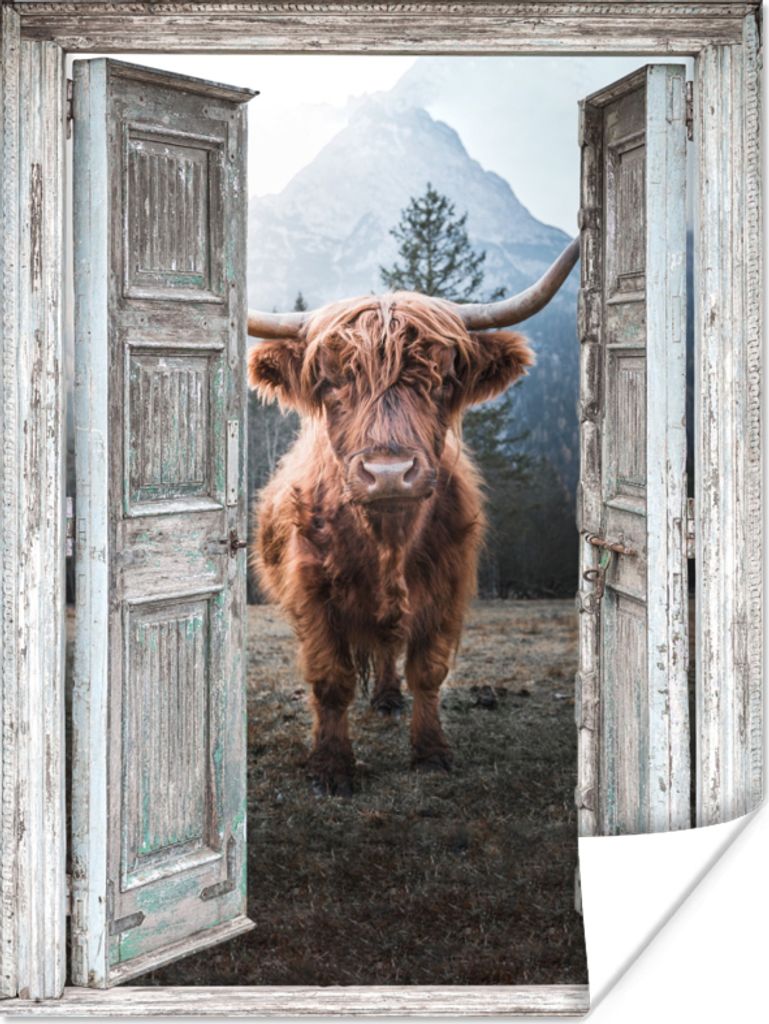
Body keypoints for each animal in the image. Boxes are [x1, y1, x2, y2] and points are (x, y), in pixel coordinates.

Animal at [246, 240, 579, 795]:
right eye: (331, 382)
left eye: (441, 380)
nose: (388, 474)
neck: (388, 540)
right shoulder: (311, 593)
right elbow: (330, 679)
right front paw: (331, 766)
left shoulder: (448, 586)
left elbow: (428, 670)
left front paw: (431, 751)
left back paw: (387, 698)